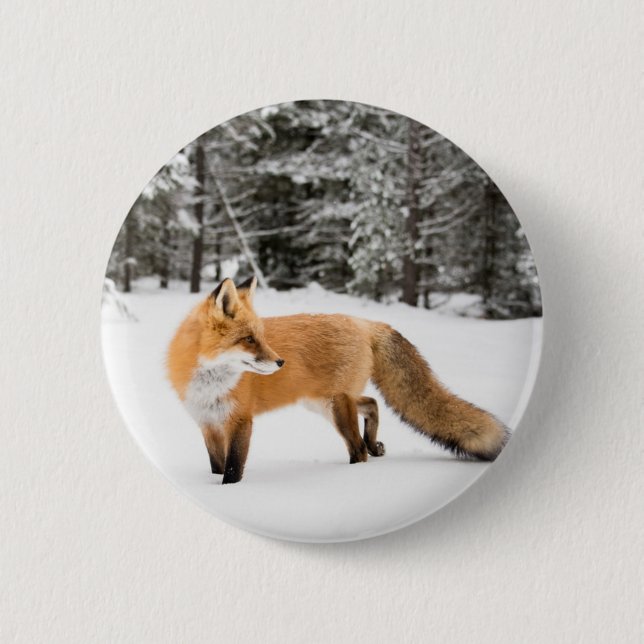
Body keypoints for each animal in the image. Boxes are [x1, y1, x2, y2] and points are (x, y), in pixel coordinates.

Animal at [166, 276, 509, 484]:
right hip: (323, 402)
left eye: (261, 337)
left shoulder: (240, 421)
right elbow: (216, 466)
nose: (280, 362)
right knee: (371, 403)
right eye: (249, 339)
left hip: (335, 406)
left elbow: (233, 468)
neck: (209, 384)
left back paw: (351, 474)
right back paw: (374, 444)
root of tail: (364, 322)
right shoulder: (208, 424)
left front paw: (229, 493)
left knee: (357, 448)